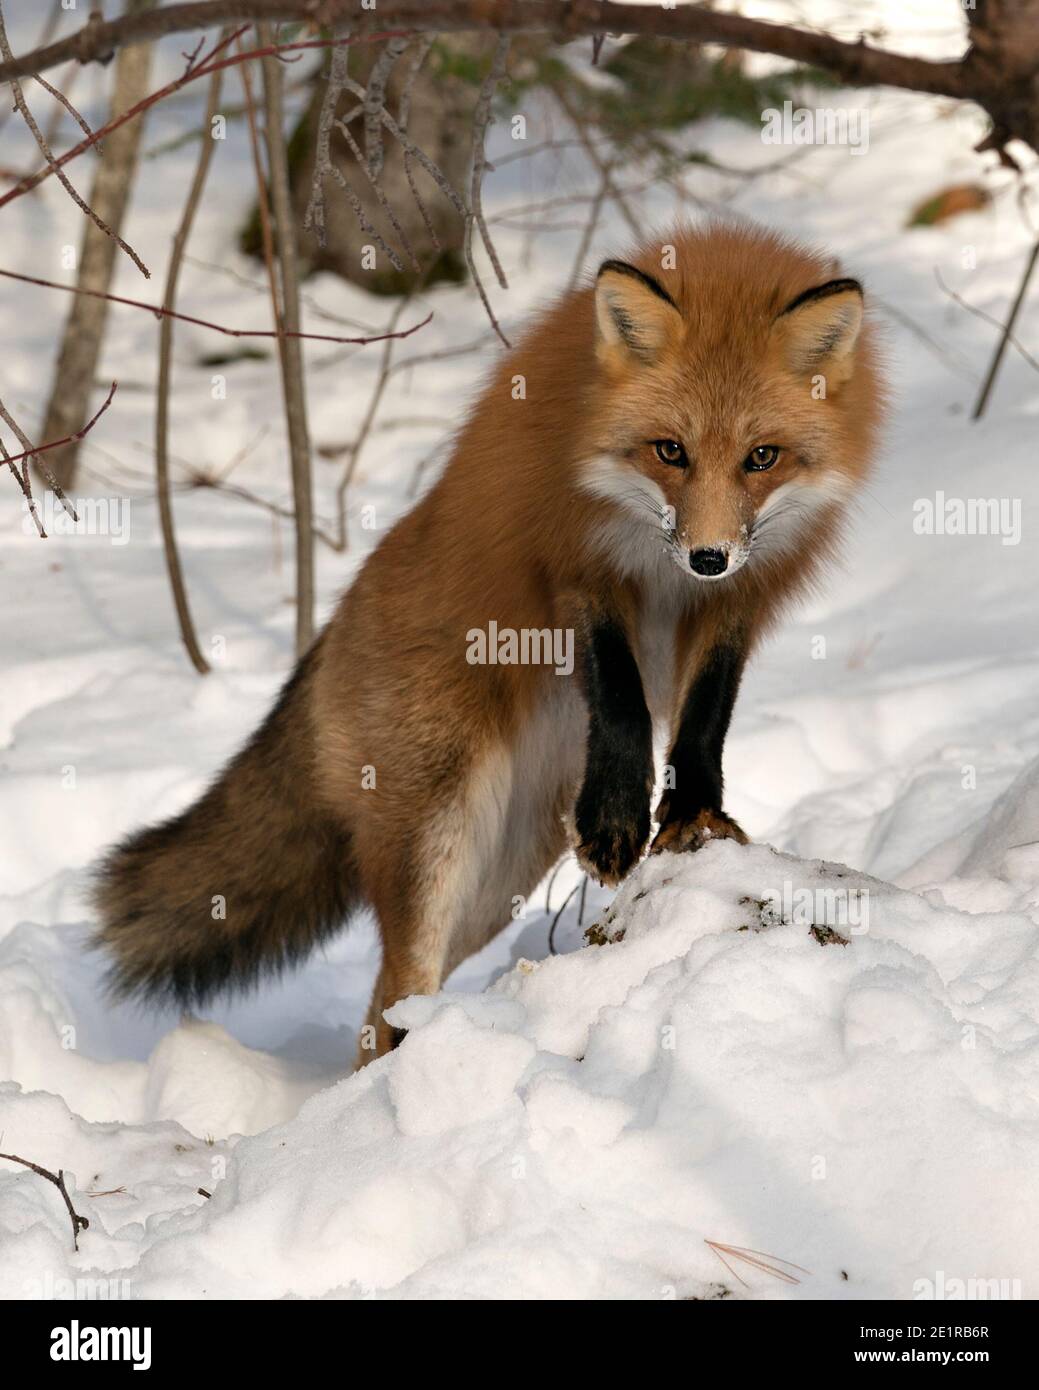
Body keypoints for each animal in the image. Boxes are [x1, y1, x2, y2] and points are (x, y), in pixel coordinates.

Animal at [93, 219, 884, 1061]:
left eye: (761, 457)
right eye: (669, 450)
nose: (707, 556)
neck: (649, 550)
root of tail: (328, 637)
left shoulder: (742, 596)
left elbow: (705, 713)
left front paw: (696, 813)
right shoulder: (573, 566)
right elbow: (621, 698)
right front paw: (617, 818)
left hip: (499, 873)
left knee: (386, 1009)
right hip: (438, 835)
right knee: (396, 990)